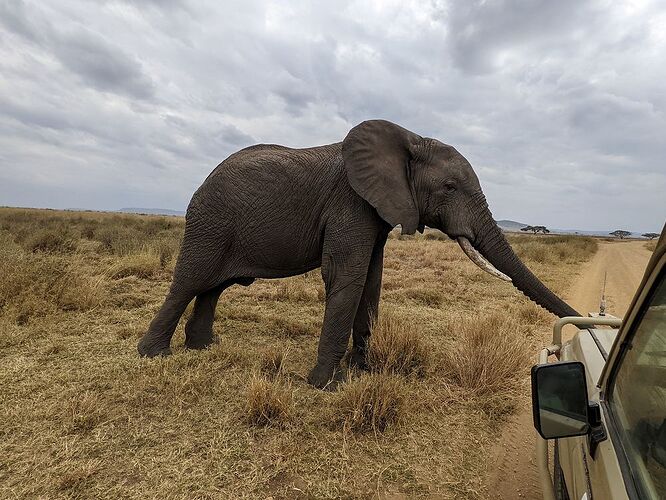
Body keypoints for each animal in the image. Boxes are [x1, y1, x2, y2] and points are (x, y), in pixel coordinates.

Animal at [137, 119, 580, 388]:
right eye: (450, 187)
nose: (583, 326)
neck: (408, 138)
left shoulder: (376, 210)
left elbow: (371, 278)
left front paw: (363, 370)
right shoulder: (350, 202)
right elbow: (346, 276)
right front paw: (323, 384)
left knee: (212, 288)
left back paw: (203, 348)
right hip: (209, 222)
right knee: (190, 282)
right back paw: (153, 355)